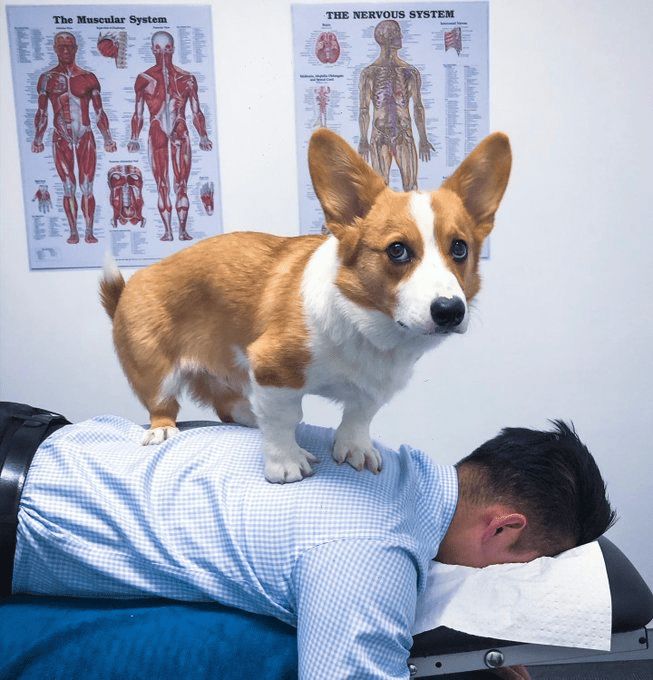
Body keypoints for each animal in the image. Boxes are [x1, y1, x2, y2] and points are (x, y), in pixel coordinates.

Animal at [100, 130, 510, 484]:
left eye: (460, 248)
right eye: (397, 250)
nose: (450, 311)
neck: (369, 328)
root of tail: (128, 286)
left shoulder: (375, 389)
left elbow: (359, 415)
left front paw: (355, 448)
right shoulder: (273, 370)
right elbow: (285, 418)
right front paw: (286, 464)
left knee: (226, 405)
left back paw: (249, 415)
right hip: (156, 371)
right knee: (163, 405)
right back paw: (163, 431)